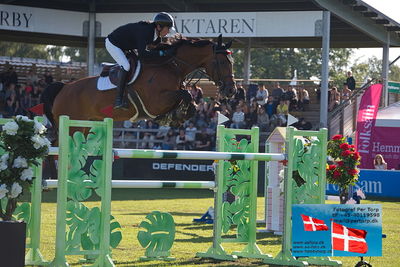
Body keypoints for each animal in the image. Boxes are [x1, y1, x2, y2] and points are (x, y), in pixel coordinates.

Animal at [41, 35, 236, 132]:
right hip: (72, 123)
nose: (231, 91)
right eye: (222, 62)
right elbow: (186, 94)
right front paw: (174, 116)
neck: (170, 66)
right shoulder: (155, 102)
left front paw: (176, 116)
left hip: (88, 124)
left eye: (232, 62)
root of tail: (64, 88)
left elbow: (191, 102)